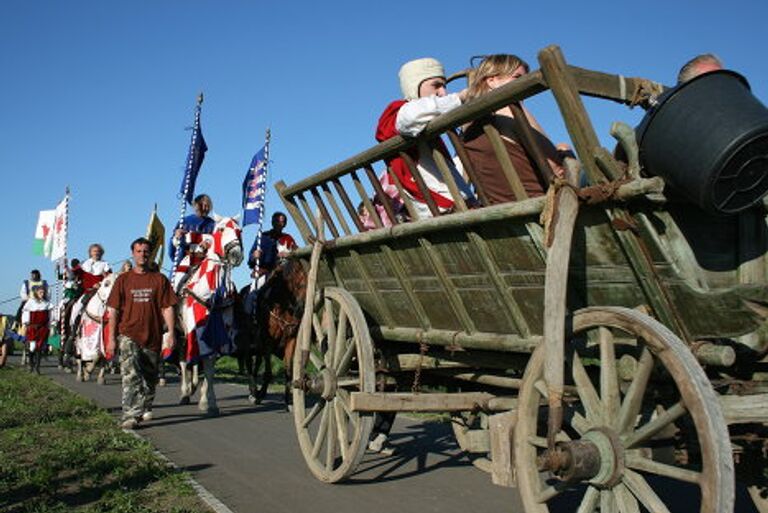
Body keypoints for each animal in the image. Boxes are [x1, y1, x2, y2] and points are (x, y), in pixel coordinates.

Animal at [173, 214, 243, 414]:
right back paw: (185, 392)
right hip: (181, 334)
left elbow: (209, 366)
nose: (236, 254)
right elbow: (196, 361)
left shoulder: (219, 332)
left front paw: (209, 401)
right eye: (221, 229)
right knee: (184, 360)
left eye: (239, 230)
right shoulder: (194, 328)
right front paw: (202, 399)